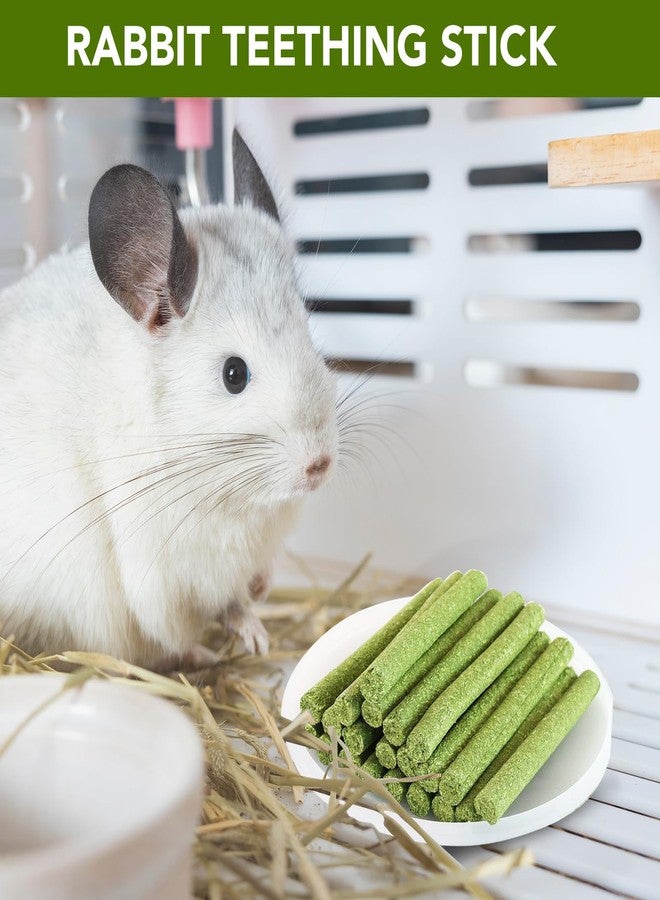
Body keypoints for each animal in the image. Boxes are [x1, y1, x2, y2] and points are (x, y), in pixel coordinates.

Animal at [0, 130, 337, 668]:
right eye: (234, 374)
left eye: (312, 341)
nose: (320, 465)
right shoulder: (169, 578)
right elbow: (207, 611)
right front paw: (247, 637)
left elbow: (250, 586)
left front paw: (260, 601)